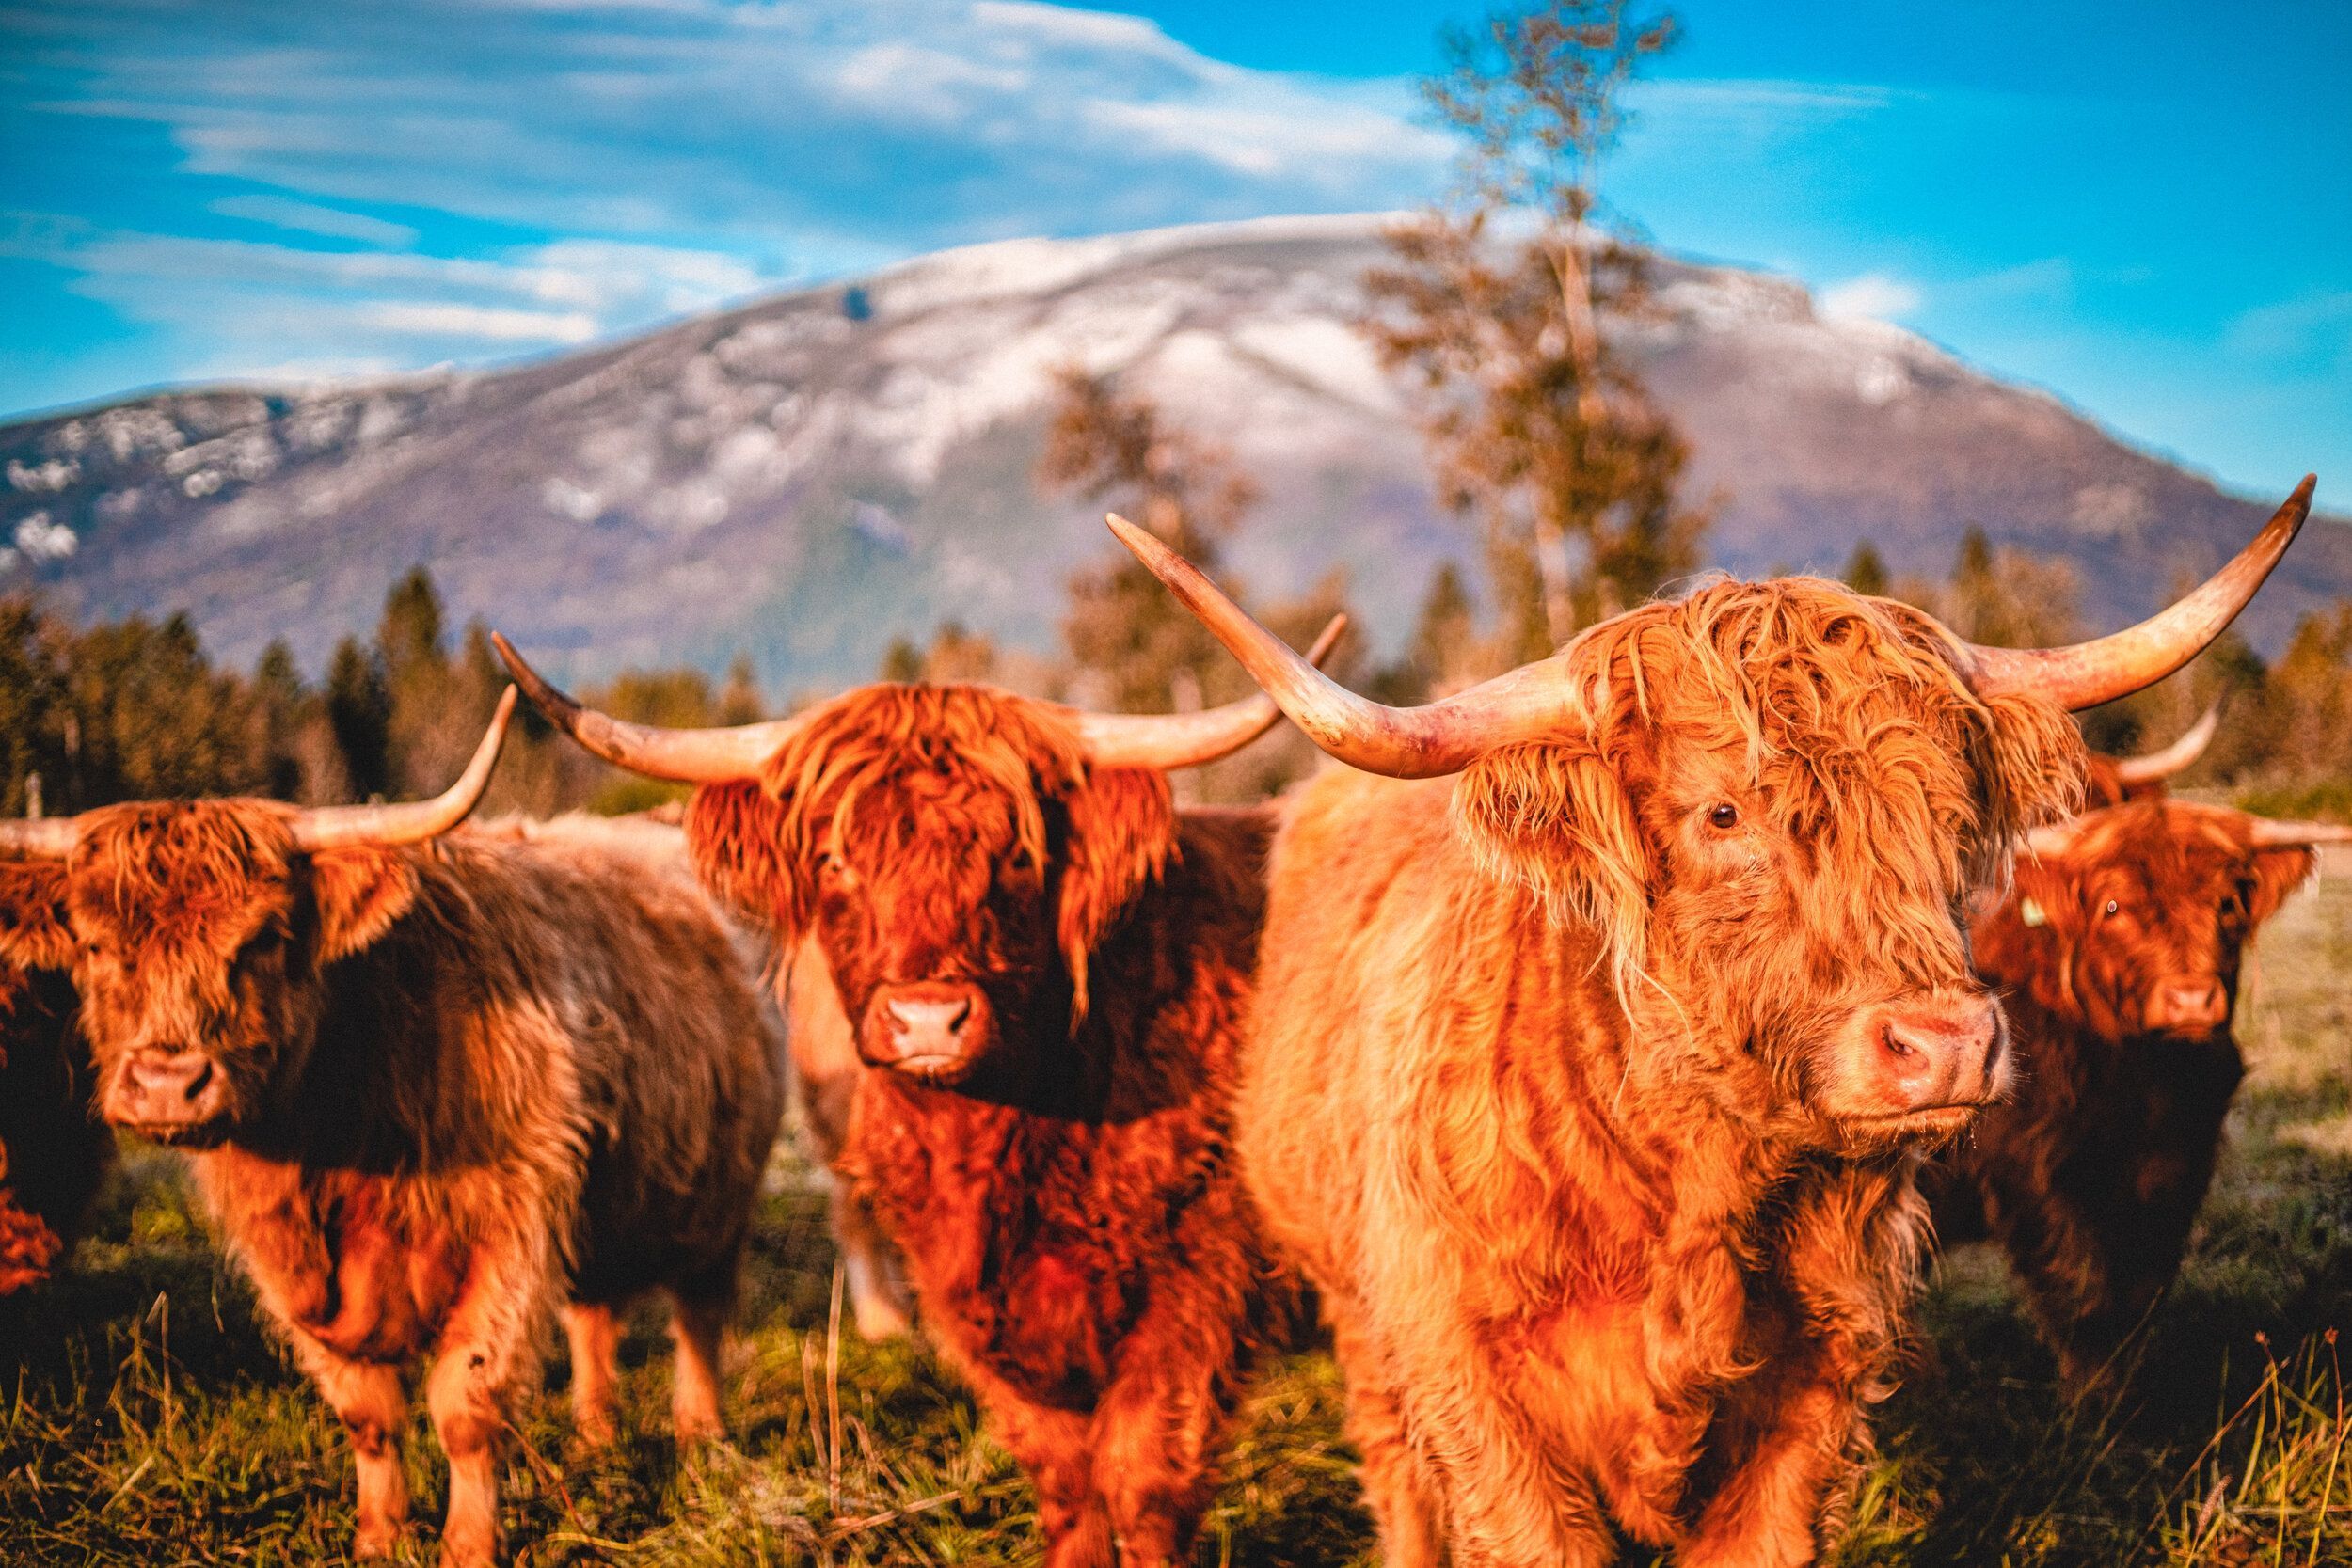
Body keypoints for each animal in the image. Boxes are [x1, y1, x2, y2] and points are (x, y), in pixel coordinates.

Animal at [492, 618, 1344, 1568]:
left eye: (1016, 855)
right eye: (836, 858)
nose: (929, 1019)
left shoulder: (1200, 1283)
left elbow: (1142, 1476)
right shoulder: (973, 1301)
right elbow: (1068, 1479)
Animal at [1929, 800, 2345, 1383]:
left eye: (2227, 904)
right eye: (2112, 906)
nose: (2190, 1000)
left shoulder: (2177, 1165)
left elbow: (2142, 1289)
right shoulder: (2036, 1172)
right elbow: (2085, 1297)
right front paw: (2100, 1397)